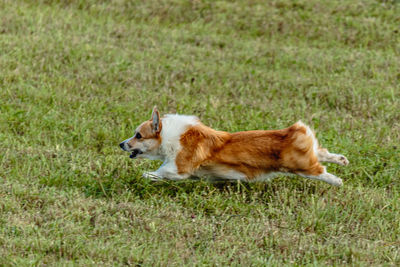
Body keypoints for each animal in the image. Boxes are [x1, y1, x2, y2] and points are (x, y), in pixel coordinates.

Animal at [120, 107, 348, 186]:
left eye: (138, 135)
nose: (121, 144)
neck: (168, 135)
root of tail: (295, 131)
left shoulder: (178, 168)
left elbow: (162, 171)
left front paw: (148, 175)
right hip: (307, 155)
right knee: (322, 153)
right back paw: (342, 159)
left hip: (300, 166)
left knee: (320, 170)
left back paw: (337, 181)